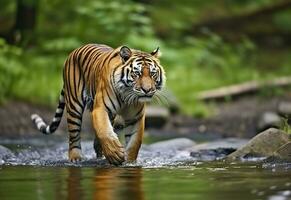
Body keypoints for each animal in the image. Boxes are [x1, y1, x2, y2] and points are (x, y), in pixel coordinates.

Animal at [31, 44, 167, 166]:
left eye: (153, 74)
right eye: (137, 73)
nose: (147, 90)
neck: (126, 95)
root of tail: (74, 51)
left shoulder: (136, 117)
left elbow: (135, 142)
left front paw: (129, 162)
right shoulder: (101, 109)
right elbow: (104, 131)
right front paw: (115, 153)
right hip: (74, 106)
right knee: (74, 136)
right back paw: (76, 158)